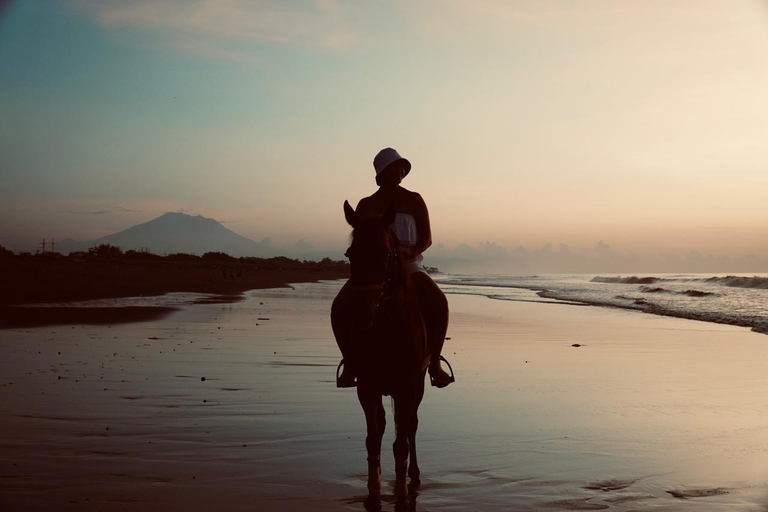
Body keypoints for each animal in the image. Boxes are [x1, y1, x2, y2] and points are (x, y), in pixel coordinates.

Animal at [338, 200, 428, 504]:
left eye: (385, 253)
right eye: (350, 254)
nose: (361, 315)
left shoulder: (407, 387)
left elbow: (401, 442)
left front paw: (401, 492)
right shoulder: (366, 386)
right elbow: (373, 437)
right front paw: (374, 488)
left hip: (419, 384)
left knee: (410, 425)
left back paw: (414, 475)